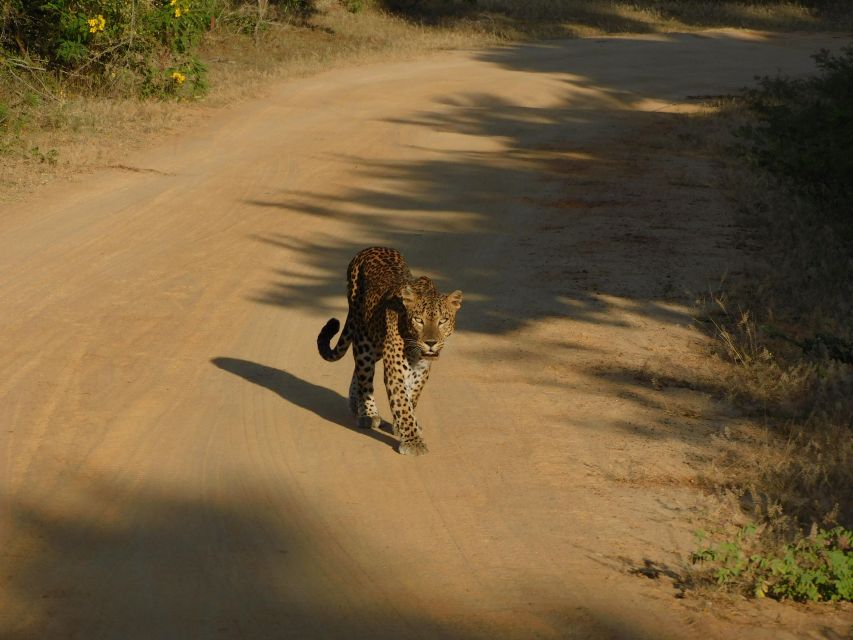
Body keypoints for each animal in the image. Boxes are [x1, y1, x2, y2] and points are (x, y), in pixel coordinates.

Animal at [317, 247, 463, 456]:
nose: (431, 343)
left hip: (377, 344)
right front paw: (413, 442)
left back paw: (354, 403)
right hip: (364, 342)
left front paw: (404, 426)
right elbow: (402, 402)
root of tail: (369, 248)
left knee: (358, 371)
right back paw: (368, 414)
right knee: (364, 377)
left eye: (442, 321)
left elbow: (412, 396)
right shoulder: (395, 370)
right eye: (418, 320)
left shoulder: (422, 369)